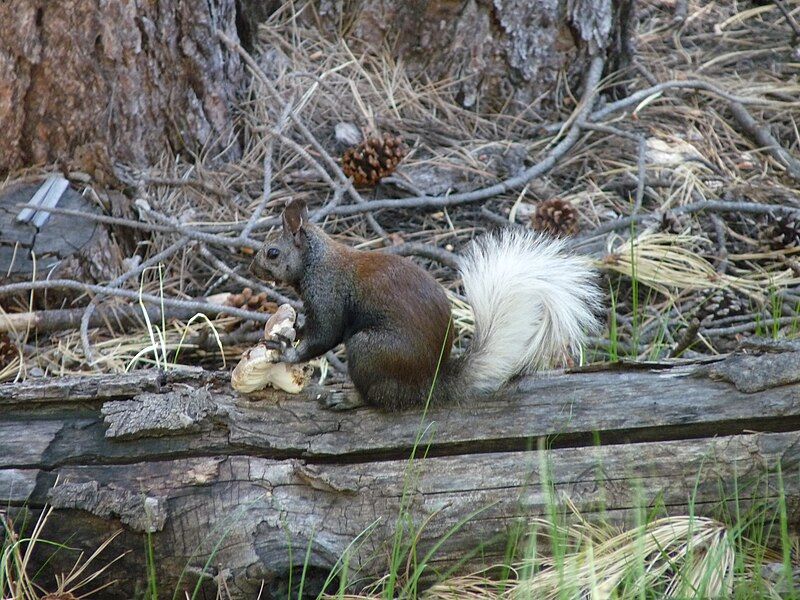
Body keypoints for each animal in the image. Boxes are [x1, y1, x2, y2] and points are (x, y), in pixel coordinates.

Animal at [250, 199, 600, 410]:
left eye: (272, 253)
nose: (253, 269)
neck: (317, 261)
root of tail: (430, 383)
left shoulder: (328, 295)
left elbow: (324, 334)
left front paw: (286, 351)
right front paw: (289, 328)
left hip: (369, 349)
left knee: (379, 400)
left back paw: (348, 398)